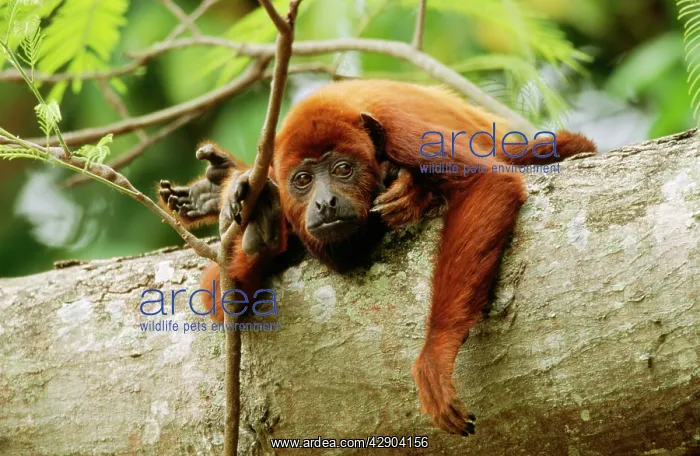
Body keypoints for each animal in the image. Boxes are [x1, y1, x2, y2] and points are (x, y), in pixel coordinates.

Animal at [157, 79, 596, 437]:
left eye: (342, 169)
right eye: (303, 180)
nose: (325, 202)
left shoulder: (402, 129)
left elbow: (487, 182)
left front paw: (435, 355)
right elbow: (217, 297)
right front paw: (262, 212)